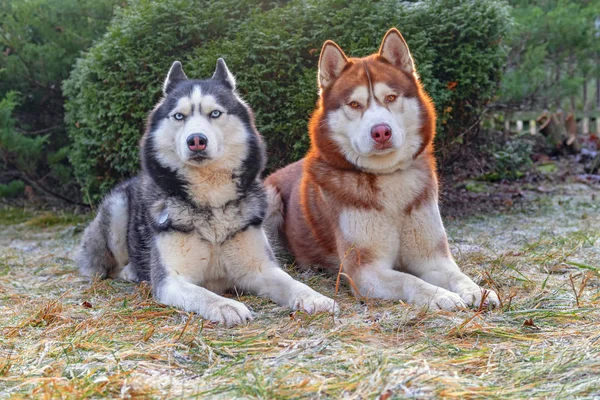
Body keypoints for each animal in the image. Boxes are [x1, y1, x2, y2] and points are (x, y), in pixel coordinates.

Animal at [77, 61, 336, 326]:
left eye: (215, 113)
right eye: (179, 116)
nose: (196, 140)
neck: (210, 201)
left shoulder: (261, 269)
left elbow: (292, 283)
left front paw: (315, 297)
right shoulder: (171, 280)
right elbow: (202, 293)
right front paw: (226, 305)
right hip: (117, 208)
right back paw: (130, 271)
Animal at [264, 29, 500, 310]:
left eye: (391, 97)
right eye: (355, 104)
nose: (381, 131)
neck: (388, 180)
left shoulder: (432, 258)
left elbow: (458, 274)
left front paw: (477, 290)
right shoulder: (365, 271)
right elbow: (410, 280)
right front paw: (440, 295)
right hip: (270, 199)